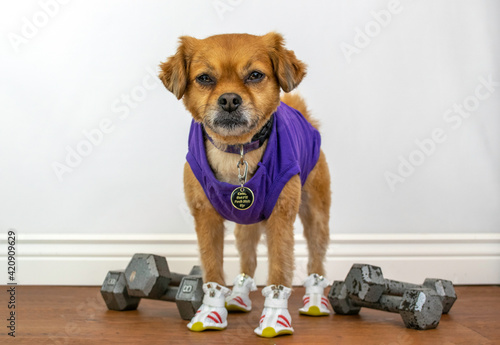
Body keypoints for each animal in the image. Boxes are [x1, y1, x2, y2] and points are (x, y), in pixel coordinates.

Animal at [160, 32, 330, 336]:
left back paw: (315, 301)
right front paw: (211, 312)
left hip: (316, 215)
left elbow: (279, 270)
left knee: (316, 260)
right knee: (248, 260)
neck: (236, 151)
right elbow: (213, 268)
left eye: (255, 75)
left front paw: (275, 318)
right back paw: (238, 296)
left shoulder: (281, 218)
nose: (229, 99)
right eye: (204, 78)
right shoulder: (206, 218)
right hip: (246, 226)